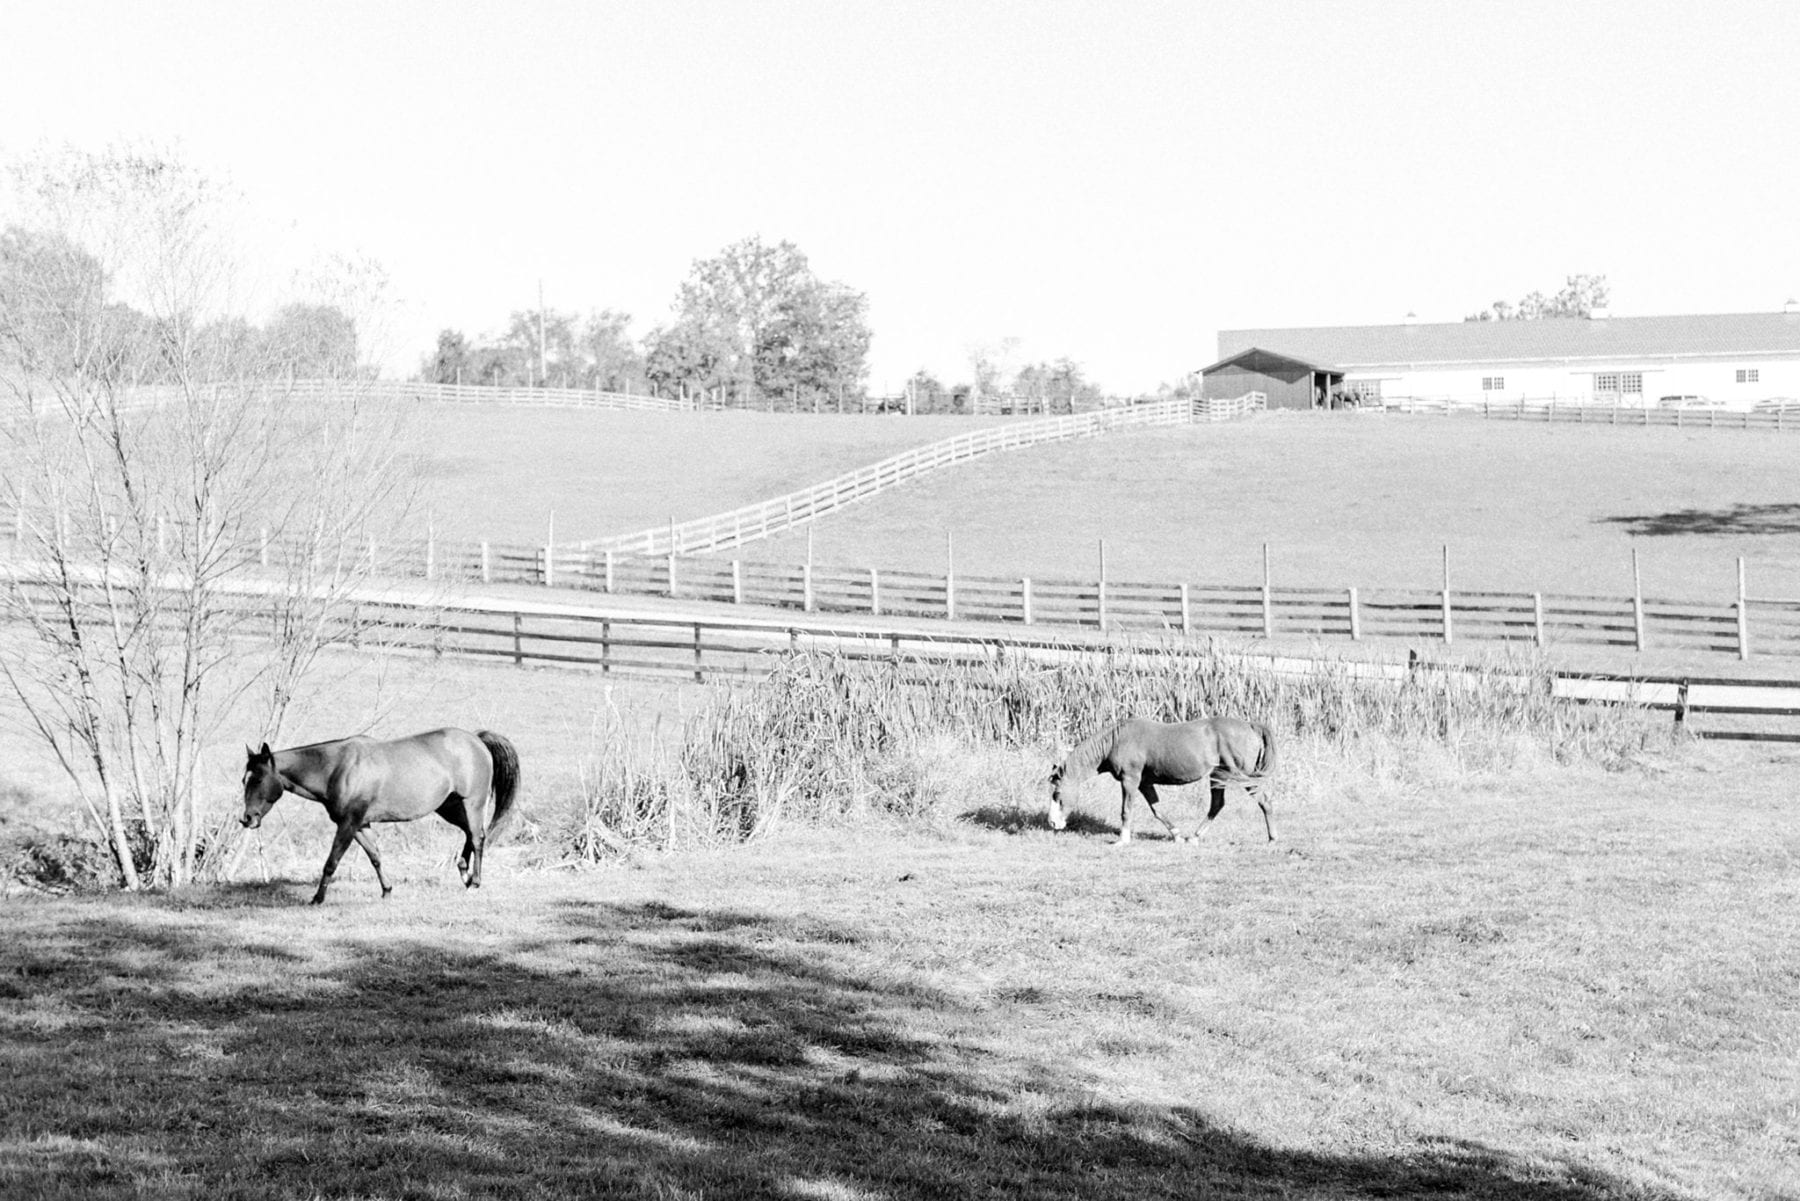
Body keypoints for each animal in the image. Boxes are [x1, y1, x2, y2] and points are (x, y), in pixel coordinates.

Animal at [241, 727, 522, 907]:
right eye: (245, 779)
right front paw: (387, 891)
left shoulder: (349, 823)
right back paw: (464, 874)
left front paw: (317, 899)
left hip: (472, 803)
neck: (336, 767)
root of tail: (477, 740)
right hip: (449, 807)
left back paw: (474, 882)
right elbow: (375, 856)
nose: (247, 819)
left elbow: (331, 862)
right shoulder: (360, 824)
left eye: (258, 779)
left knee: (477, 838)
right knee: (469, 835)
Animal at [1044, 720, 1281, 849]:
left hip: (1241, 776)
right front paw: (1177, 836)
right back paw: (1193, 837)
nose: (1053, 823)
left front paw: (1122, 840)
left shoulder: (1130, 780)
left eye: (1057, 794)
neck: (1116, 740)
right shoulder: (1144, 784)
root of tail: (1250, 726)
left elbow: (1126, 810)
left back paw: (1272, 839)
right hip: (1218, 777)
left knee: (1264, 802)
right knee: (1217, 805)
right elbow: (1157, 810)